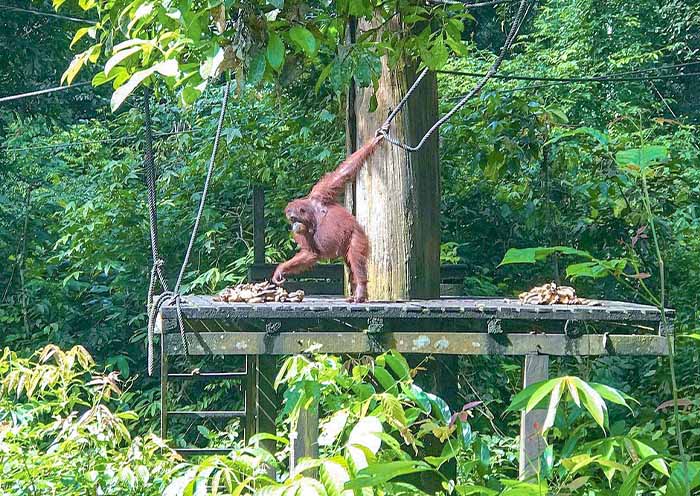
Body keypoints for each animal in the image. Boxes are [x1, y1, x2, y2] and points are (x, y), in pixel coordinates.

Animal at [272, 135, 383, 302]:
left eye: (293, 218)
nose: (293, 226)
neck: (312, 215)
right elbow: (309, 253)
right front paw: (281, 269)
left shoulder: (320, 192)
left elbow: (343, 173)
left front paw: (374, 141)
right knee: (350, 262)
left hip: (357, 236)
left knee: (355, 256)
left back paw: (360, 289)